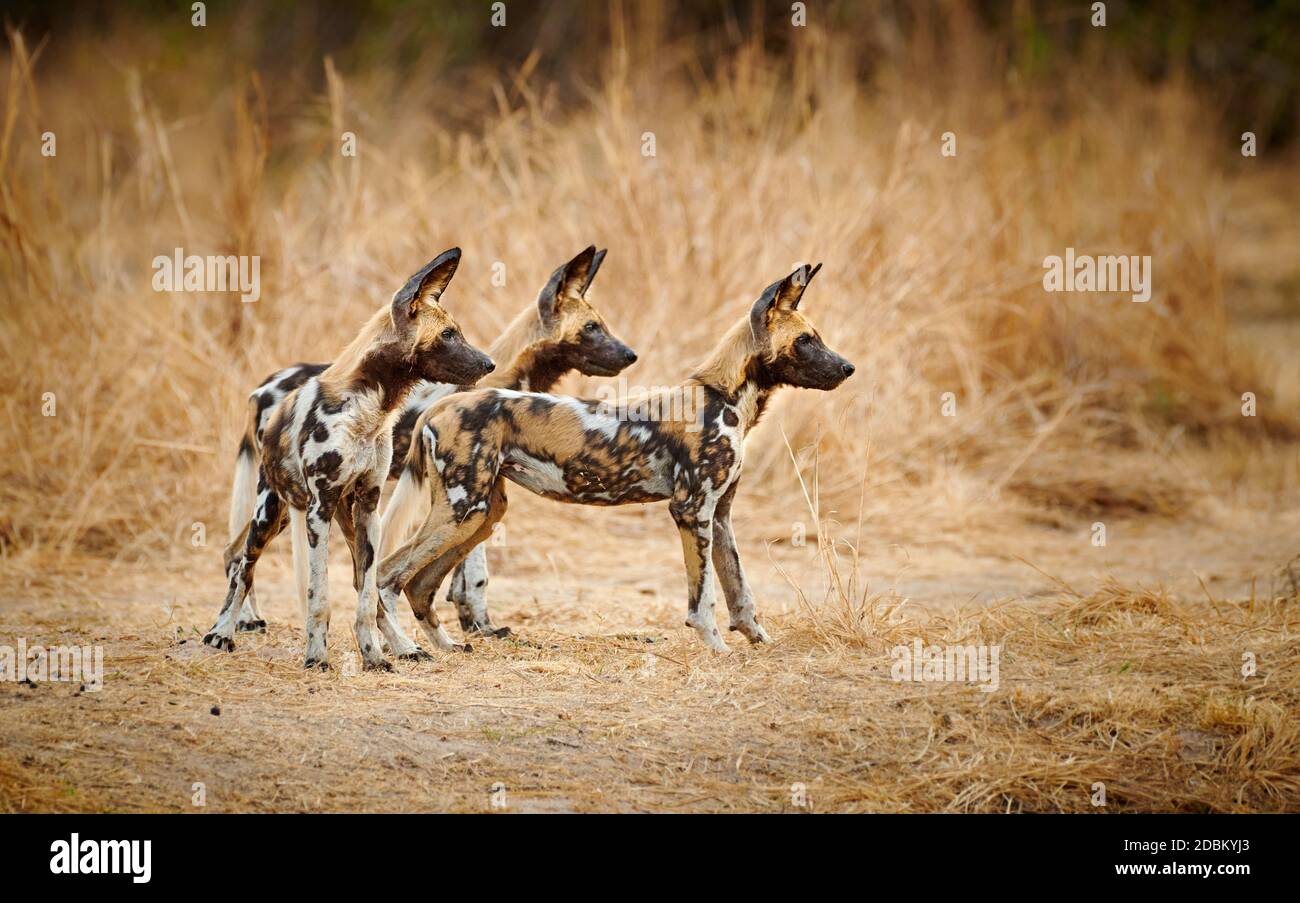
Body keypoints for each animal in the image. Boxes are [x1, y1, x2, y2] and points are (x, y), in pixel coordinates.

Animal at [205, 246, 493, 670]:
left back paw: (403, 645)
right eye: (448, 335)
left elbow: (367, 595)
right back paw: (222, 631)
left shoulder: (369, 505)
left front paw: (374, 655)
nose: (489, 364)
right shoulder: (319, 508)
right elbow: (319, 596)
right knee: (243, 565)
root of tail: (266, 398)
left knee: (362, 585)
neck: (369, 409)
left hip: (338, 516)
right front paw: (316, 657)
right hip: (270, 513)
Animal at [227, 246, 634, 639]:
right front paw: (477, 624)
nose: (631, 354)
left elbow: (464, 575)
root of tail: (264, 387)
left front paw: (475, 624)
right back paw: (242, 622)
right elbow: (474, 573)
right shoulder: (472, 493)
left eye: (602, 325)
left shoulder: (486, 493)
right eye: (592, 328)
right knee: (237, 553)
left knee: (235, 551)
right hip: (289, 497)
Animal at [377, 261, 852, 649]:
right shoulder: (691, 509)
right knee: (386, 572)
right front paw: (717, 650)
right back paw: (403, 650)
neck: (724, 397)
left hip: (482, 513)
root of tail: (441, 405)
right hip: (462, 510)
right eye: (806, 340)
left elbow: (741, 592)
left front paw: (759, 642)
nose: (848, 368)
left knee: (419, 585)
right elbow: (704, 602)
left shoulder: (719, 516)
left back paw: (444, 647)